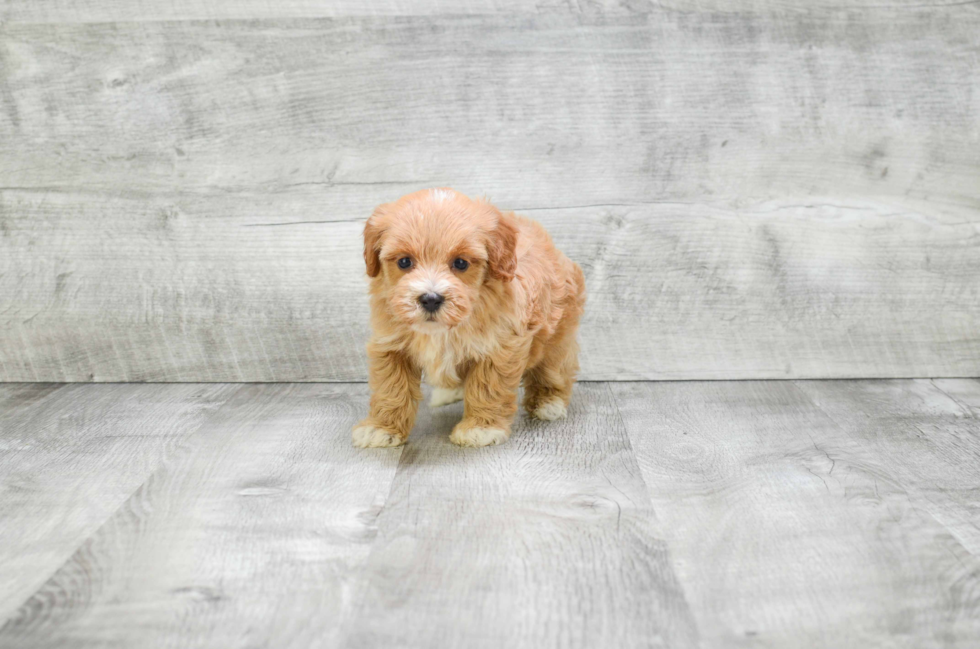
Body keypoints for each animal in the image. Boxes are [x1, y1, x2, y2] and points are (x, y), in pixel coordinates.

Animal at [352, 187, 584, 446]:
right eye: (404, 261)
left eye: (461, 263)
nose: (430, 299)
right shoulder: (390, 345)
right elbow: (391, 388)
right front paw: (381, 428)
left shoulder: (499, 346)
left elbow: (487, 386)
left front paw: (481, 428)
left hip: (556, 334)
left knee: (554, 369)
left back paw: (548, 403)